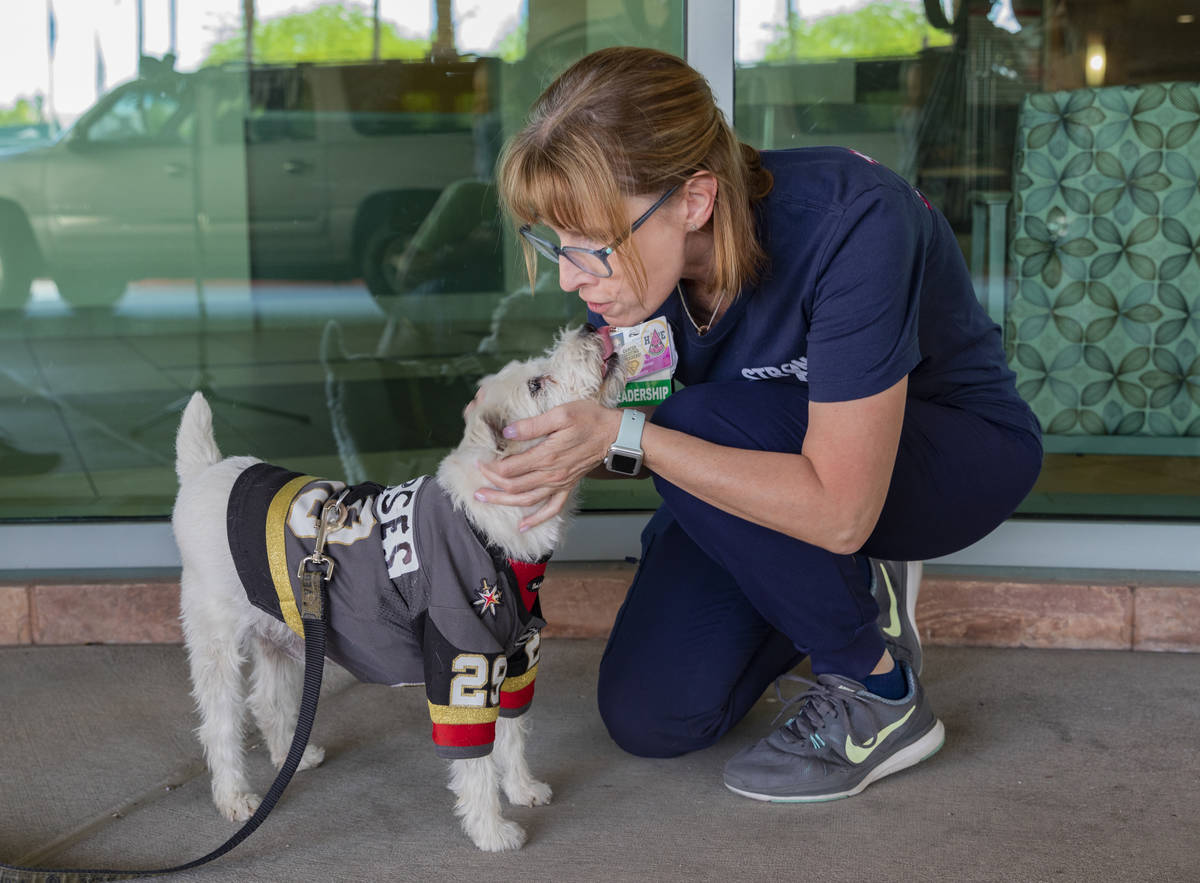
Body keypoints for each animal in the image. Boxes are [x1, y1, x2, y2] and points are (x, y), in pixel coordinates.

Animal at [174, 326, 624, 849]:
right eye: (535, 384)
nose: (591, 328)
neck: (489, 527)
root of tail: (205, 472)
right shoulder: (462, 660)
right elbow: (475, 758)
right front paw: (490, 830)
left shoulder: (515, 658)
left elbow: (512, 734)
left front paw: (521, 787)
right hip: (217, 642)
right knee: (220, 725)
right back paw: (235, 797)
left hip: (282, 631)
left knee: (267, 701)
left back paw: (294, 757)